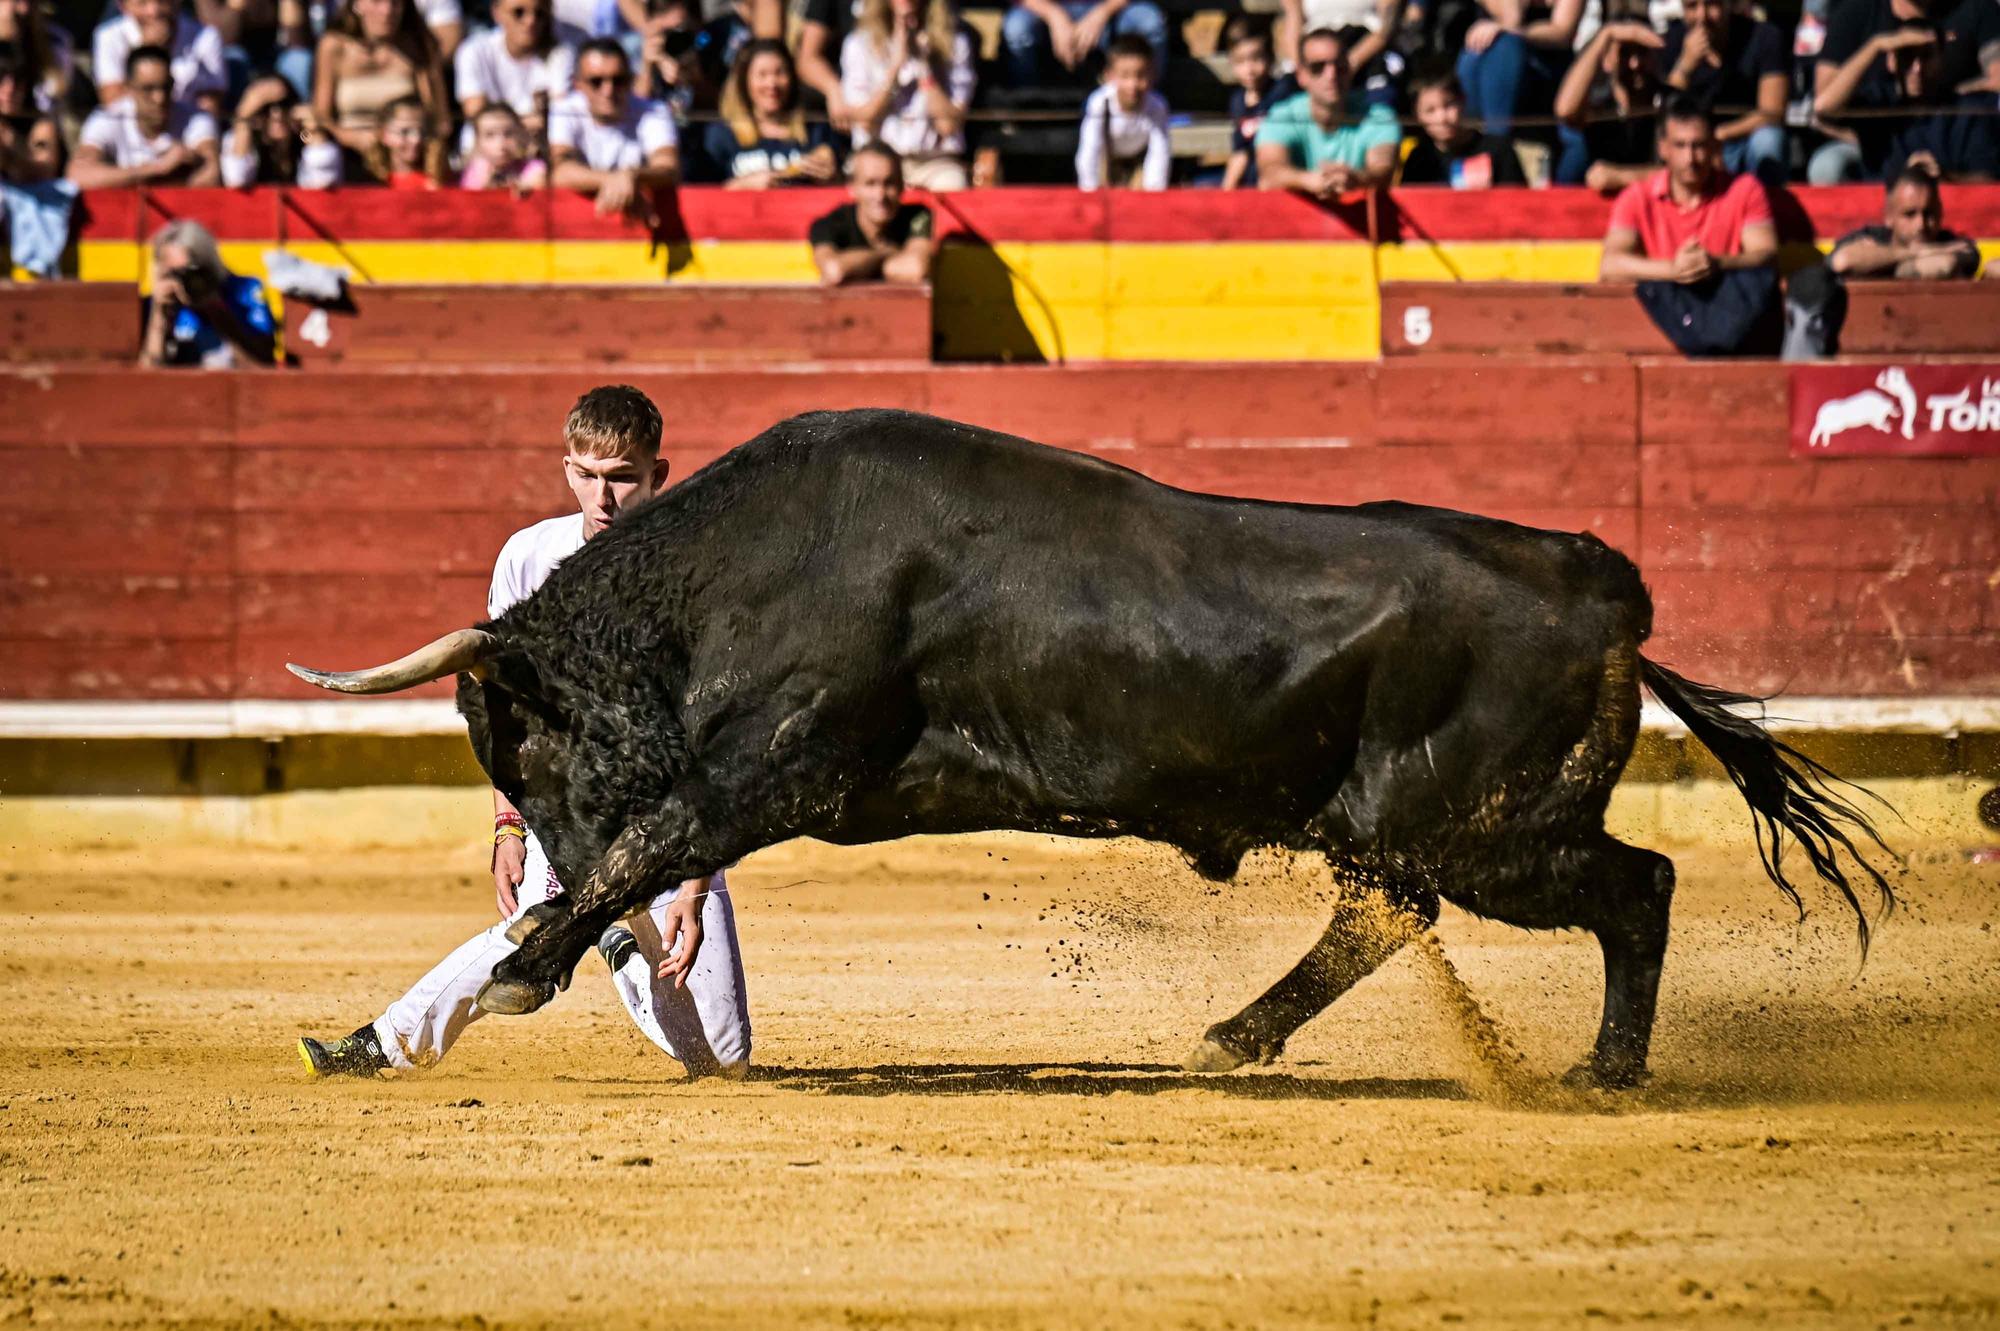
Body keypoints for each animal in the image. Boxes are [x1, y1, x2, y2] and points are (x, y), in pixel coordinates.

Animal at [292, 407, 1888, 1087]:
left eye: (523, 749)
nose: (541, 884)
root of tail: (1596, 576)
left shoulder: (777, 767)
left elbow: (653, 837)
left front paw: (520, 967)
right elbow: (646, 847)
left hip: (1484, 824)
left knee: (1630, 887)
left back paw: (1602, 1072)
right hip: (1427, 822)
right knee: (1398, 912)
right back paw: (1235, 1038)